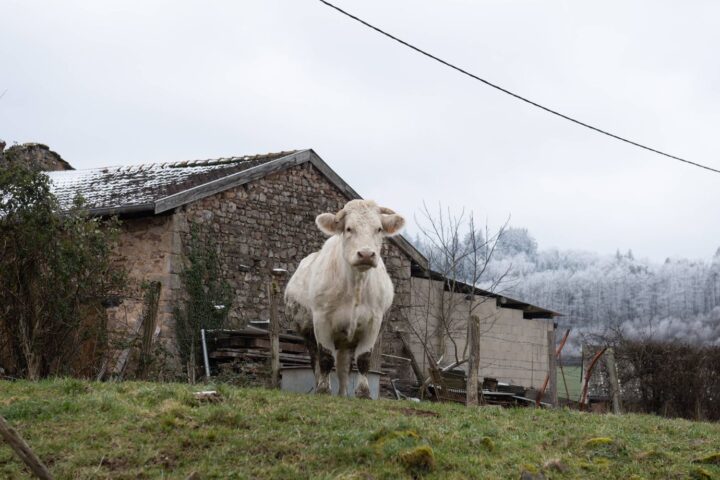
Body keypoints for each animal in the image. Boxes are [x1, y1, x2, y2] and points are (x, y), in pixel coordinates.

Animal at [284, 199, 405, 398]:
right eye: (349, 228)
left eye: (379, 228)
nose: (366, 254)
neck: (356, 285)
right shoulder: (321, 321)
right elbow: (325, 358)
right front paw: (323, 390)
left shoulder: (373, 323)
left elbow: (363, 359)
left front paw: (363, 393)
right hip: (309, 334)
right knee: (316, 363)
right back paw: (318, 386)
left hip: (346, 341)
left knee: (343, 368)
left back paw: (343, 394)